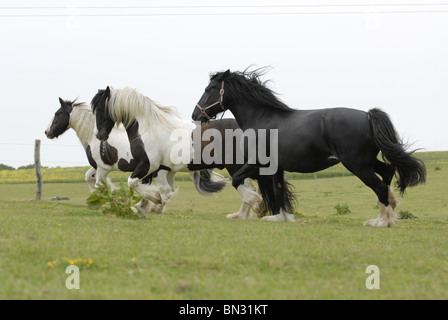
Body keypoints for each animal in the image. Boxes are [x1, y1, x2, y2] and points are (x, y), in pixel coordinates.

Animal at [191, 69, 426, 226]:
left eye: (209, 89)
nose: (195, 114)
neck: (263, 118)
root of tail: (368, 115)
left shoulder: (257, 164)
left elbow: (239, 181)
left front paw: (254, 203)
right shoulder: (275, 168)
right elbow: (278, 192)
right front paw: (281, 217)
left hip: (357, 165)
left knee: (379, 187)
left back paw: (380, 222)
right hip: (367, 162)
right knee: (387, 173)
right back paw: (387, 214)